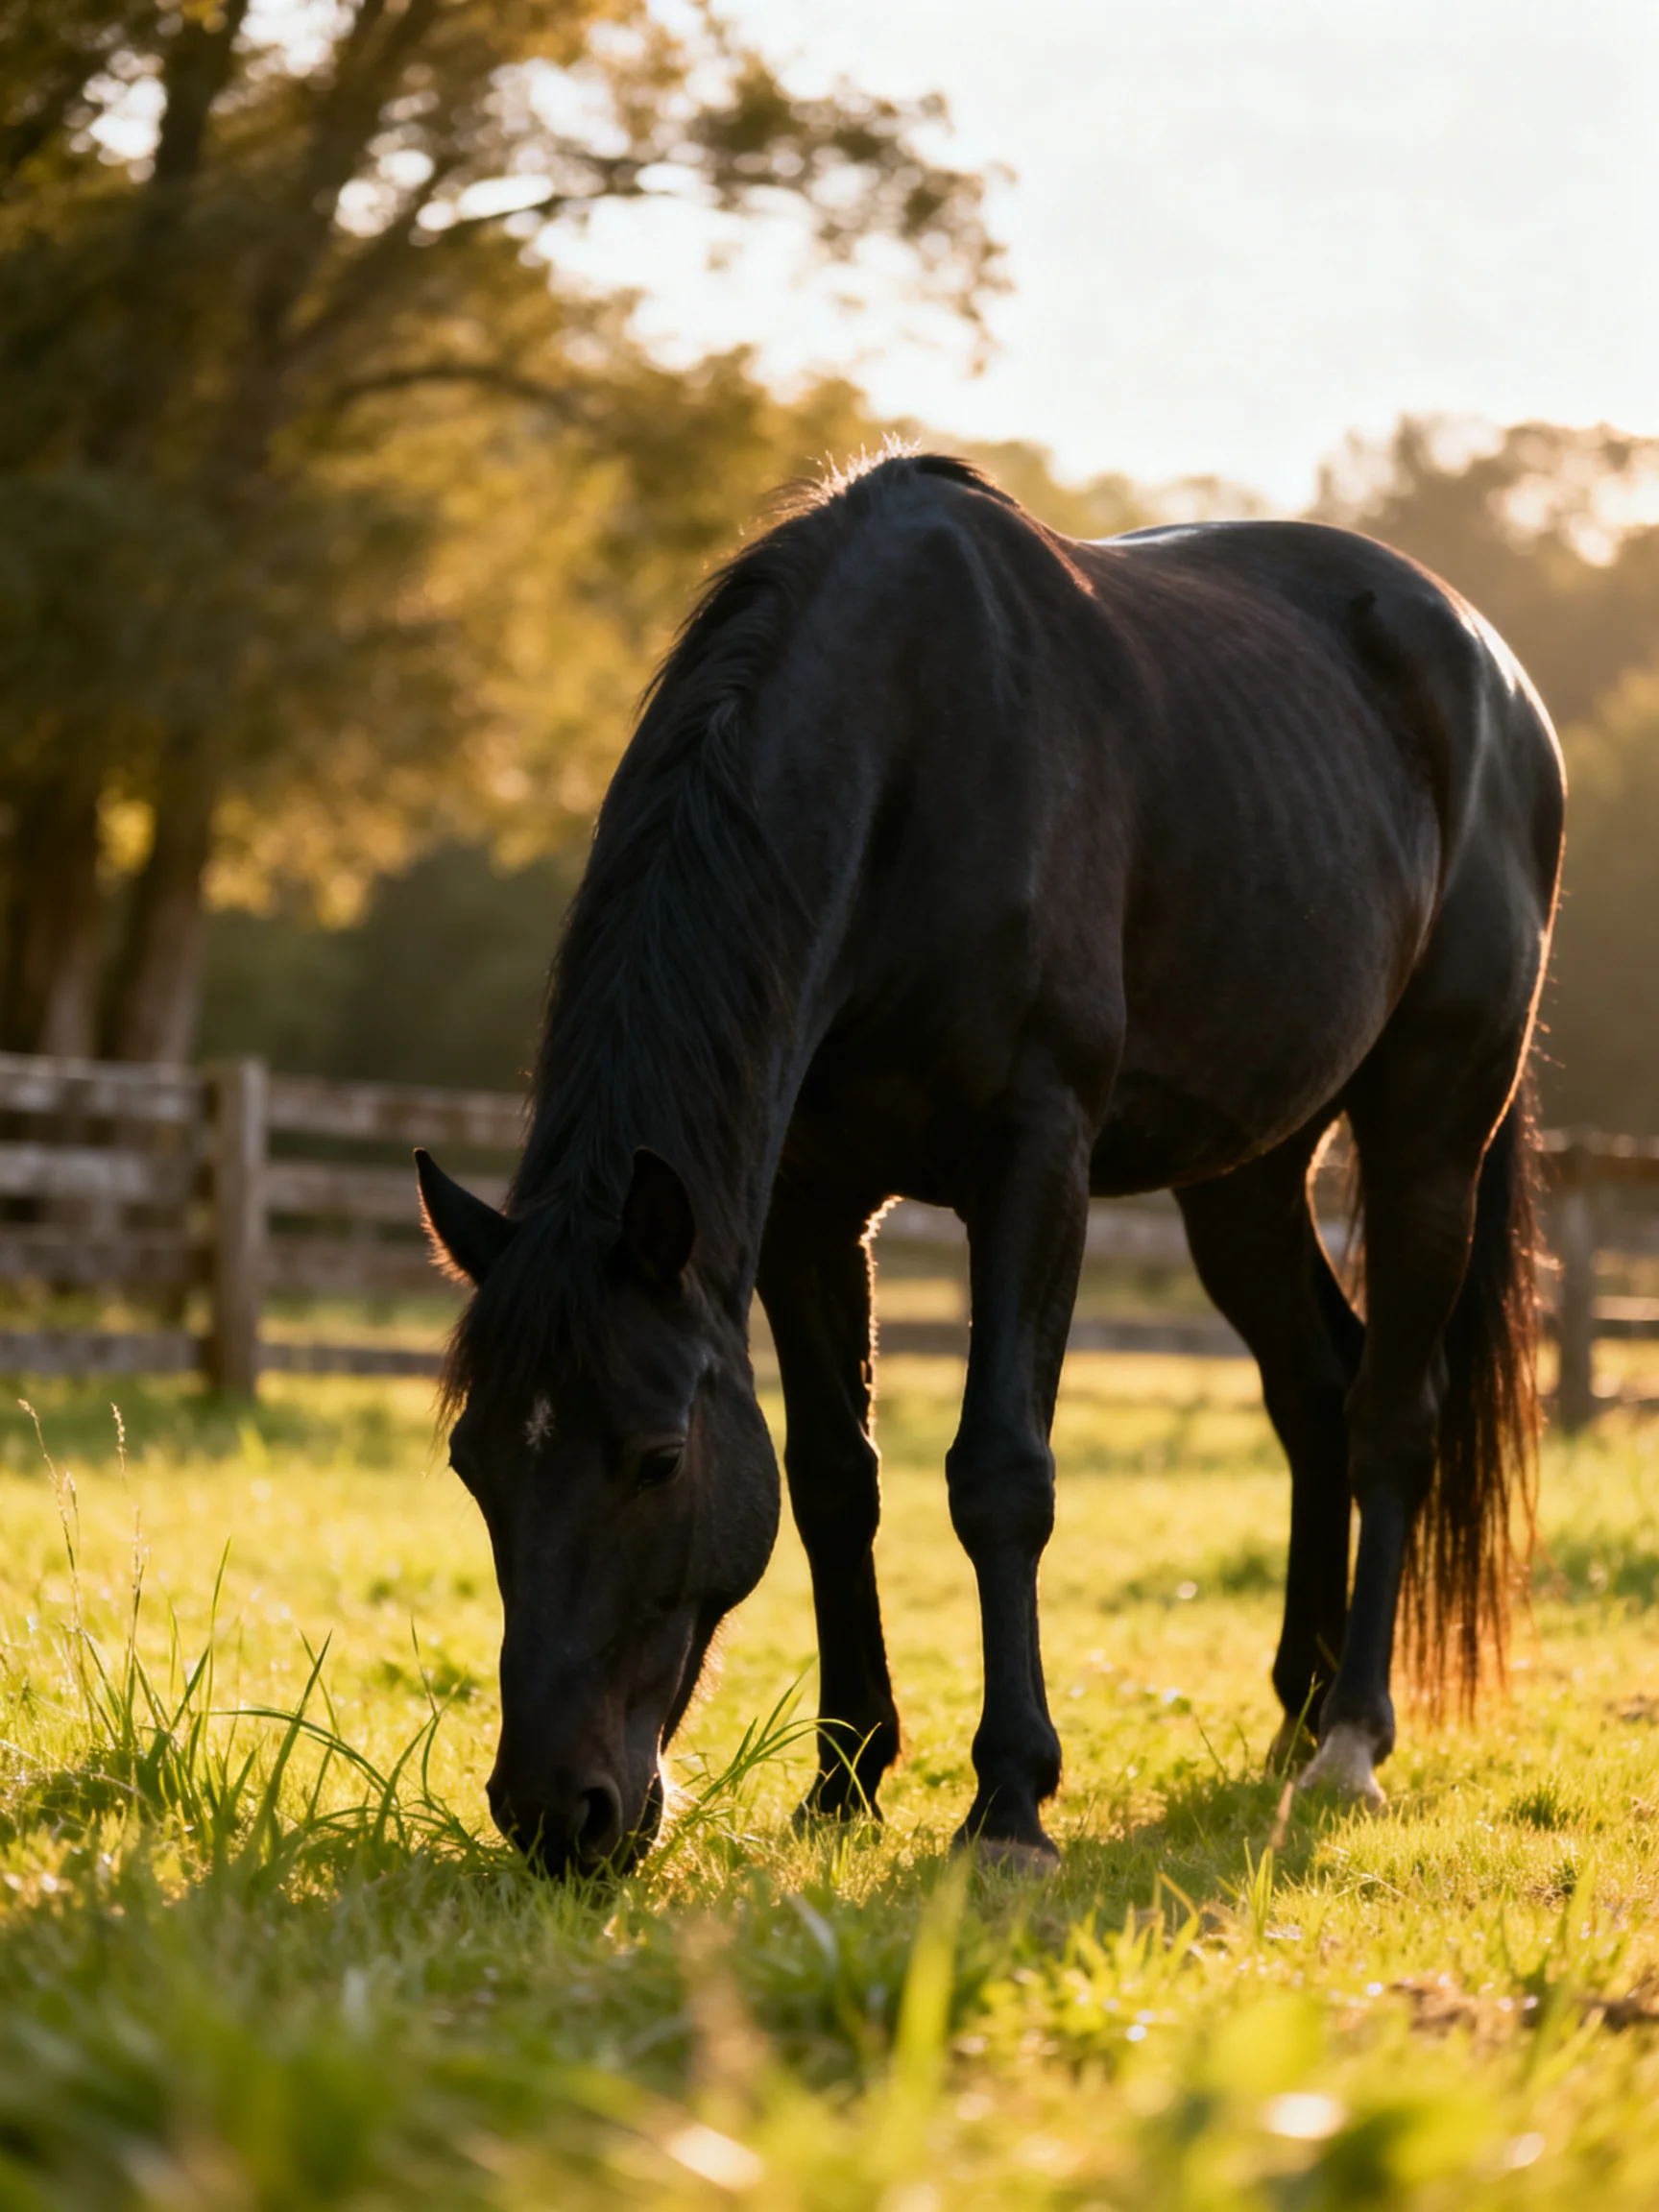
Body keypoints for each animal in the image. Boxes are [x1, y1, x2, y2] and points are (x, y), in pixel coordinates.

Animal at [417, 451, 1564, 1875]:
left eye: (659, 1459)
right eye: (475, 1465)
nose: (554, 1814)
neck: (912, 749)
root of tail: (1491, 666)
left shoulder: (1035, 1160)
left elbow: (1001, 1476)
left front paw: (1010, 1799)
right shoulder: (806, 1203)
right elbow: (833, 1479)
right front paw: (845, 1778)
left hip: (1431, 1134)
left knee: (1391, 1412)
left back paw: (1350, 1740)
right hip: (1244, 1174)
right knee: (1316, 1392)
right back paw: (1294, 1715)